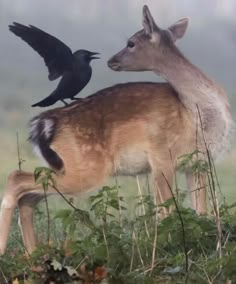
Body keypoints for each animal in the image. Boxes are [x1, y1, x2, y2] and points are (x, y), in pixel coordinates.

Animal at [0, 5, 232, 255]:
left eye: (131, 43)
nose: (111, 60)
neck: (196, 111)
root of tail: (43, 124)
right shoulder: (162, 156)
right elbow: (166, 211)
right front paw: (168, 245)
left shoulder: (197, 162)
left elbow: (201, 210)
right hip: (85, 166)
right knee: (16, 178)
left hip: (63, 164)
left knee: (28, 196)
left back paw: (32, 253)